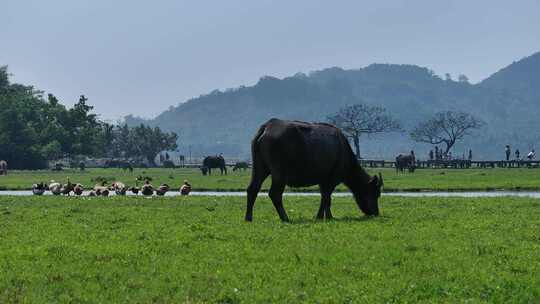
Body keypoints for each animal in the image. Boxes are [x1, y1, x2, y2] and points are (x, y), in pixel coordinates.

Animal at [247, 118, 382, 221]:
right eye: (375, 193)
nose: (376, 213)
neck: (344, 153)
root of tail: (267, 127)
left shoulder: (323, 181)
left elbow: (324, 197)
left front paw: (325, 216)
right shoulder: (332, 179)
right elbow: (327, 198)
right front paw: (325, 216)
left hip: (260, 168)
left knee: (252, 189)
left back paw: (248, 217)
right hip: (279, 173)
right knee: (274, 194)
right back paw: (285, 217)